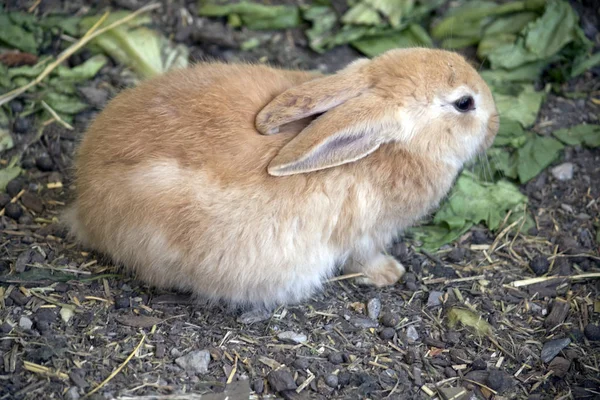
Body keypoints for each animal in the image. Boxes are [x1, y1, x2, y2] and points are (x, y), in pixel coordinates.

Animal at [63, 47, 500, 310]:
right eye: (464, 103)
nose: (495, 124)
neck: (396, 146)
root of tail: (84, 204)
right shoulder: (364, 234)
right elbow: (363, 257)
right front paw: (389, 273)